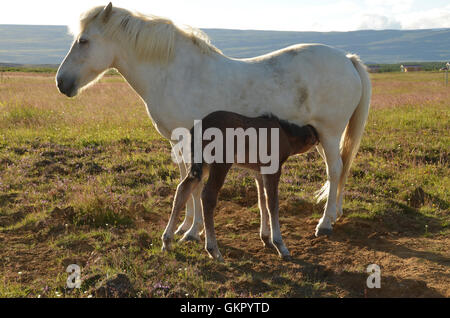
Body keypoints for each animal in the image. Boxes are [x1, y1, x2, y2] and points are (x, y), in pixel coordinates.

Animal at [163, 111, 320, 260]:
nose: (318, 137)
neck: (285, 134)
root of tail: (199, 128)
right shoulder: (272, 169)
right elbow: (272, 203)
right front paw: (280, 245)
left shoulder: (259, 170)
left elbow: (262, 200)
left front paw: (266, 239)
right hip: (220, 164)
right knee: (207, 196)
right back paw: (213, 250)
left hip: (203, 165)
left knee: (183, 188)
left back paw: (167, 241)